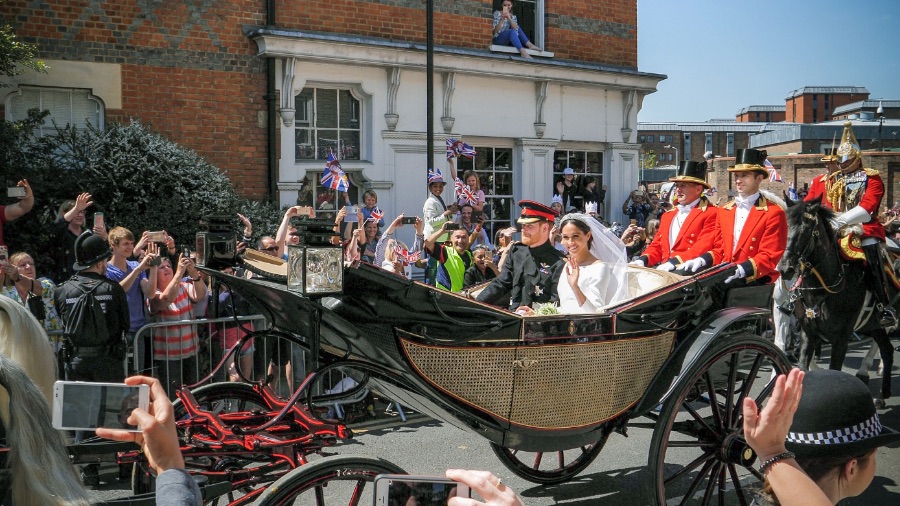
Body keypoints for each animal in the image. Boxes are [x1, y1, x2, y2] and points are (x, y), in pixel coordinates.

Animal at [776, 202, 896, 408]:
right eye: (783, 227)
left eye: (806, 230)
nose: (785, 269)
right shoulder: (809, 334)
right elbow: (803, 368)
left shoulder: (841, 339)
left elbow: (835, 372)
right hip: (871, 325)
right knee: (887, 349)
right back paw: (882, 394)